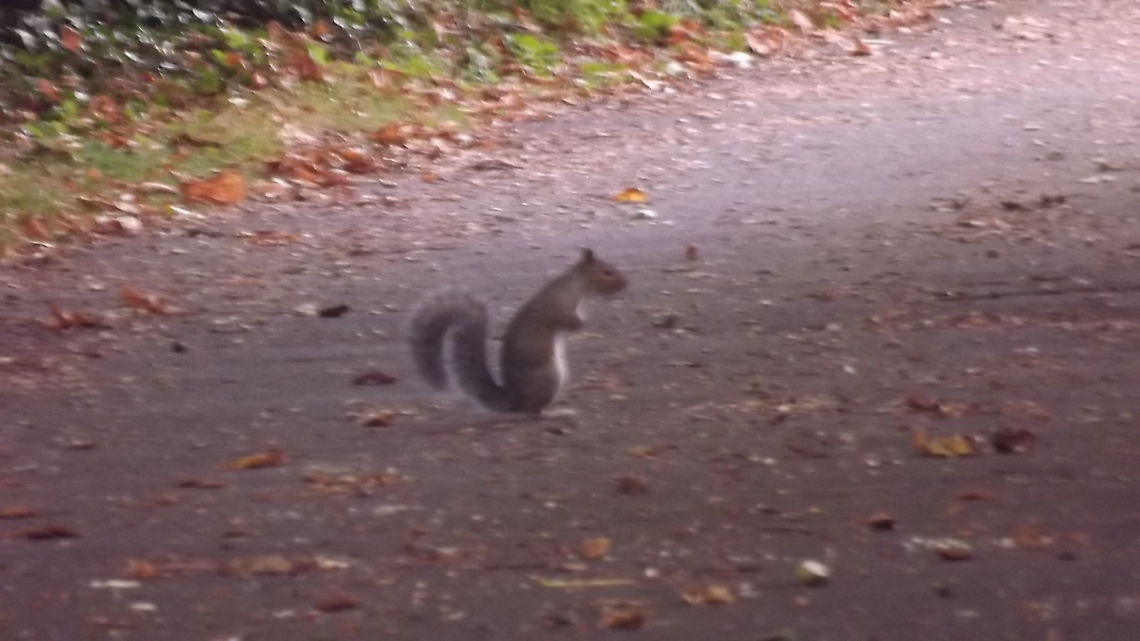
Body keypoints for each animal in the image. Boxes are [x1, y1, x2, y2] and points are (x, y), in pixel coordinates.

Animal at [409, 248, 628, 416]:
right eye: (607, 272)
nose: (626, 284)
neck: (578, 286)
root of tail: (515, 400)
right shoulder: (560, 306)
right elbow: (569, 322)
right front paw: (584, 321)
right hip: (547, 376)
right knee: (533, 412)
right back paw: (556, 413)